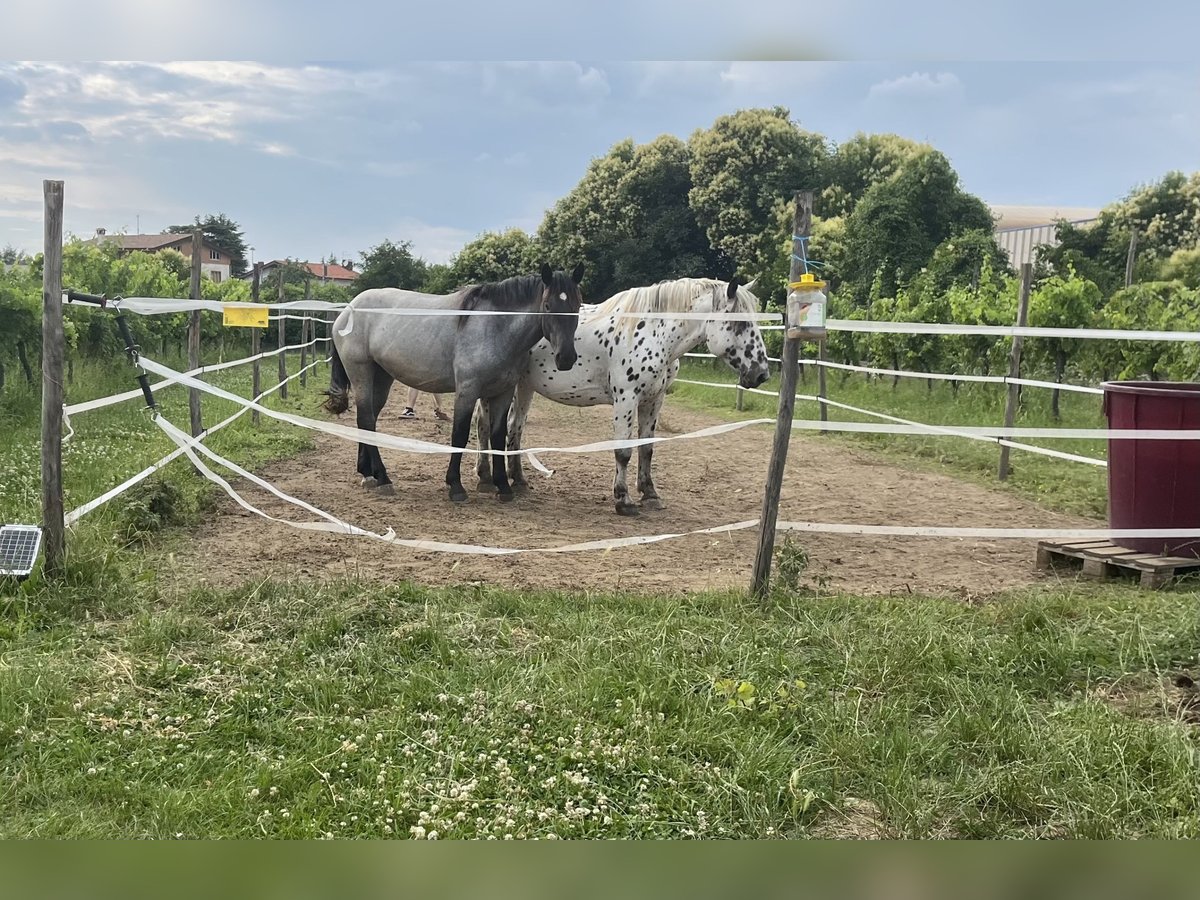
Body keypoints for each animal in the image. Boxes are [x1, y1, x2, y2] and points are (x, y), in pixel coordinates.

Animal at [324, 266, 585, 508]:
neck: (496, 325)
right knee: (366, 419)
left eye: (577, 305)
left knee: (367, 419)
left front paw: (503, 486)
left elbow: (498, 436)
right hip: (361, 374)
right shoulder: (468, 391)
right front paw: (456, 486)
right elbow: (459, 435)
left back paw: (369, 474)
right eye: (548, 305)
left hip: (381, 377)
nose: (566, 358)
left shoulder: (503, 392)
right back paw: (383, 478)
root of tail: (348, 309)